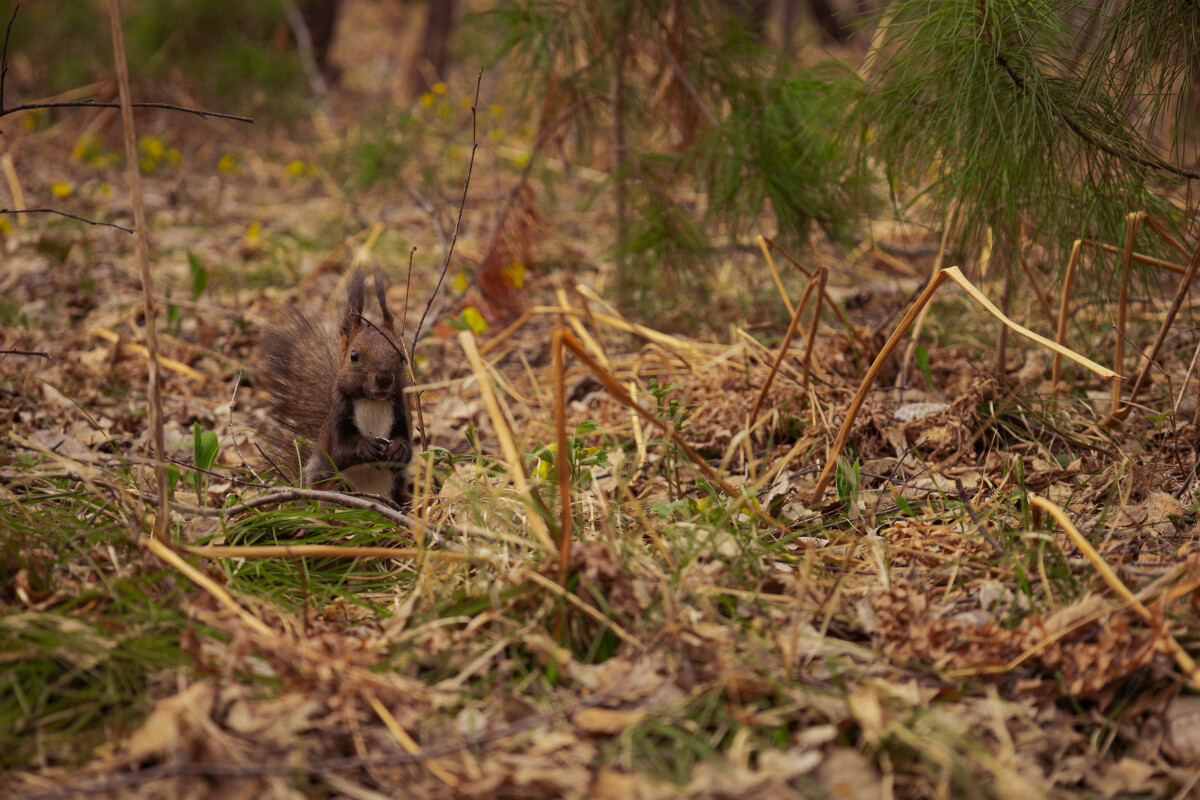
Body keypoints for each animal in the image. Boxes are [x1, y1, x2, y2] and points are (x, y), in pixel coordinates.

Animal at [260, 268, 415, 506]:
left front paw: (398, 449)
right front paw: (365, 446)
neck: (373, 402)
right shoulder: (338, 419)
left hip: (397, 482)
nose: (384, 378)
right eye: (354, 355)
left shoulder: (402, 412)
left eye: (401, 357)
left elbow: (407, 446)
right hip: (323, 473)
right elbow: (340, 452)